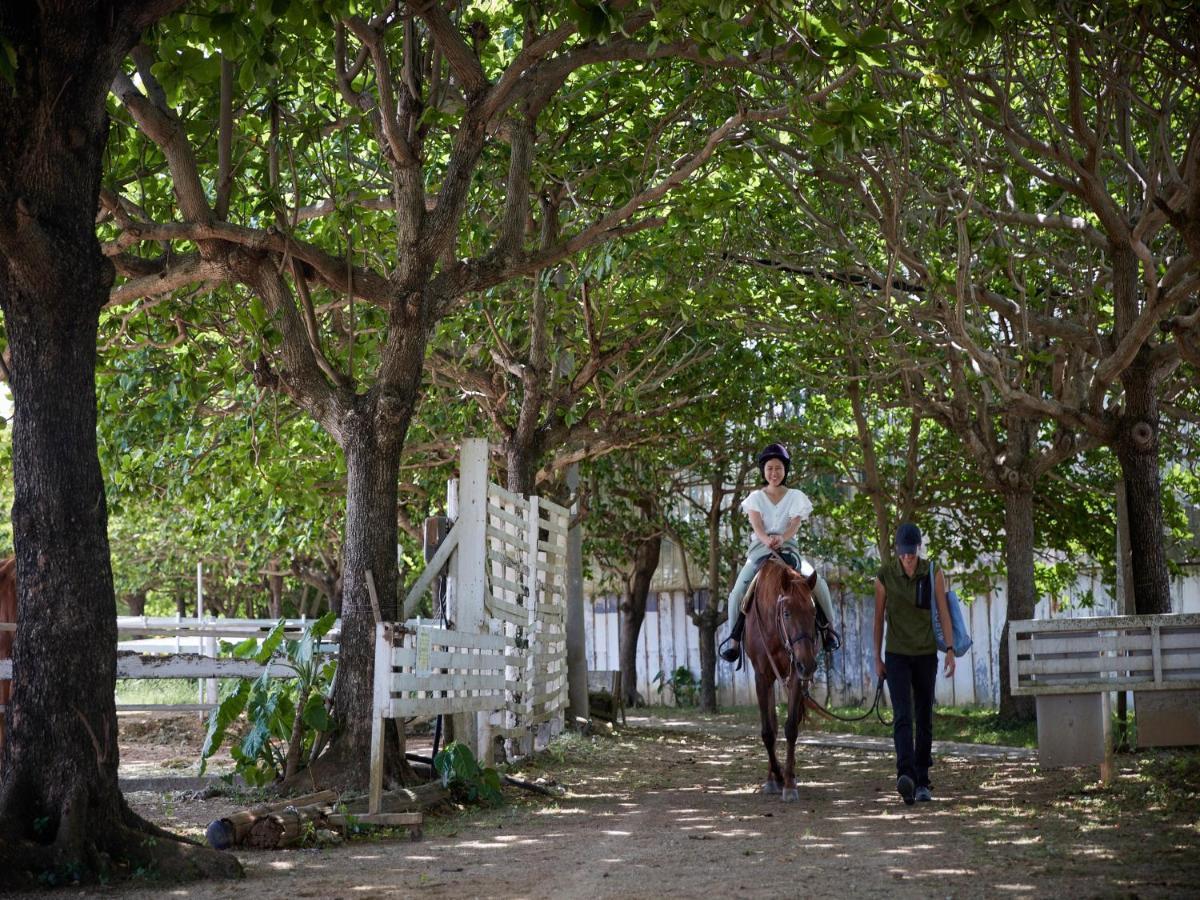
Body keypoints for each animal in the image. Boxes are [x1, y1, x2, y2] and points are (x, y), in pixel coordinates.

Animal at [739, 556, 825, 801]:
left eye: (814, 612)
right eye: (787, 613)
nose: (808, 665)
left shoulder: (795, 674)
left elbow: (791, 728)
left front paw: (788, 782)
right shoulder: (762, 677)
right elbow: (769, 731)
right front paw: (776, 777)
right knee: (772, 724)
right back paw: (772, 778)